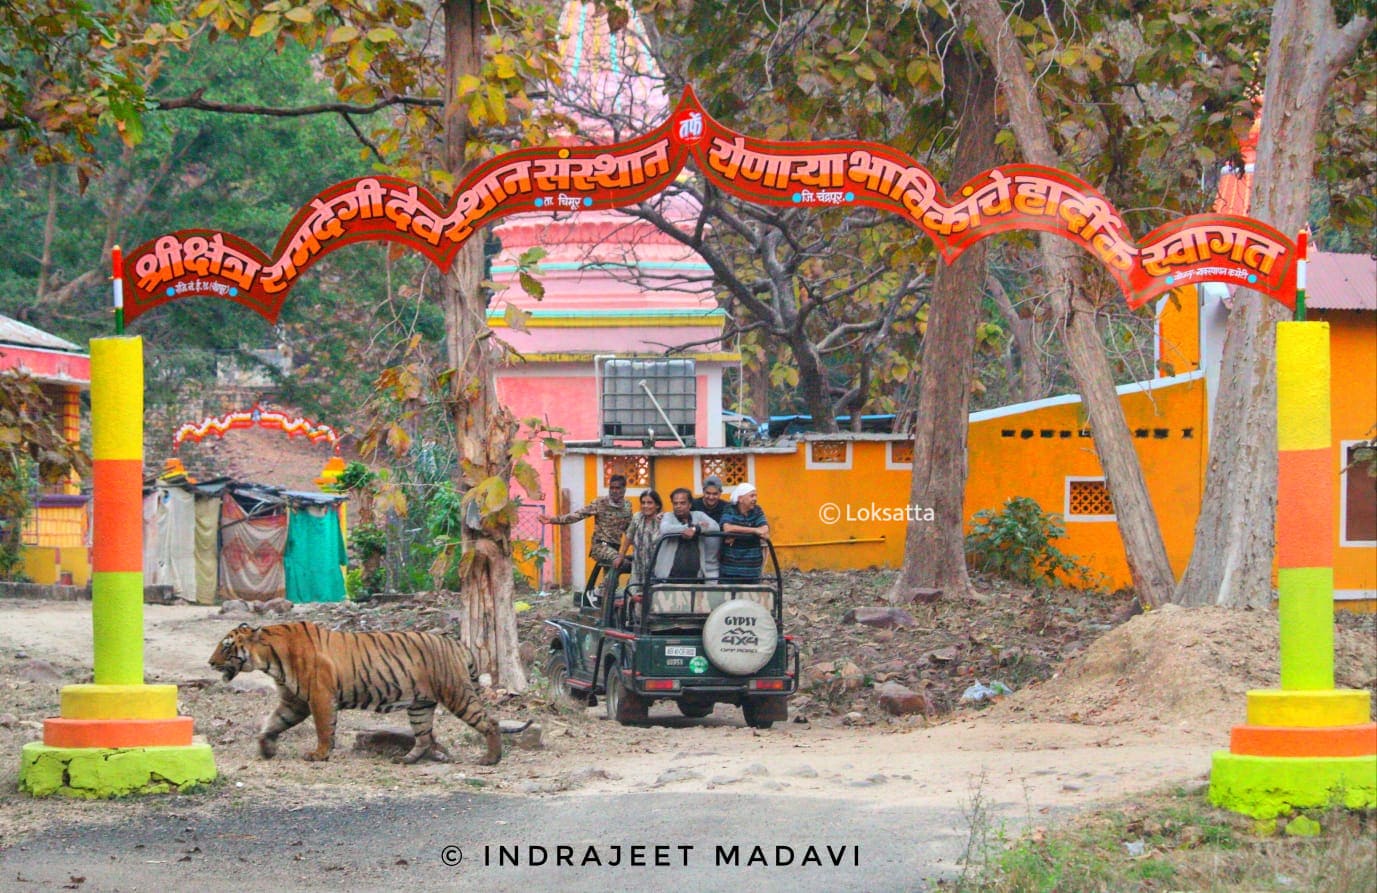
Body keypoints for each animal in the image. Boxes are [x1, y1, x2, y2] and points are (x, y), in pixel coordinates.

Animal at [209, 624, 501, 765]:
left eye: (226, 647)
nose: (210, 663)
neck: (269, 658)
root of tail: (456, 643)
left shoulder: (319, 696)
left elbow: (324, 729)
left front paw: (320, 755)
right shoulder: (294, 701)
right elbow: (274, 723)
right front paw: (265, 748)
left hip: (457, 694)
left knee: (490, 722)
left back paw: (491, 759)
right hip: (420, 704)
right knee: (424, 736)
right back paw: (407, 759)